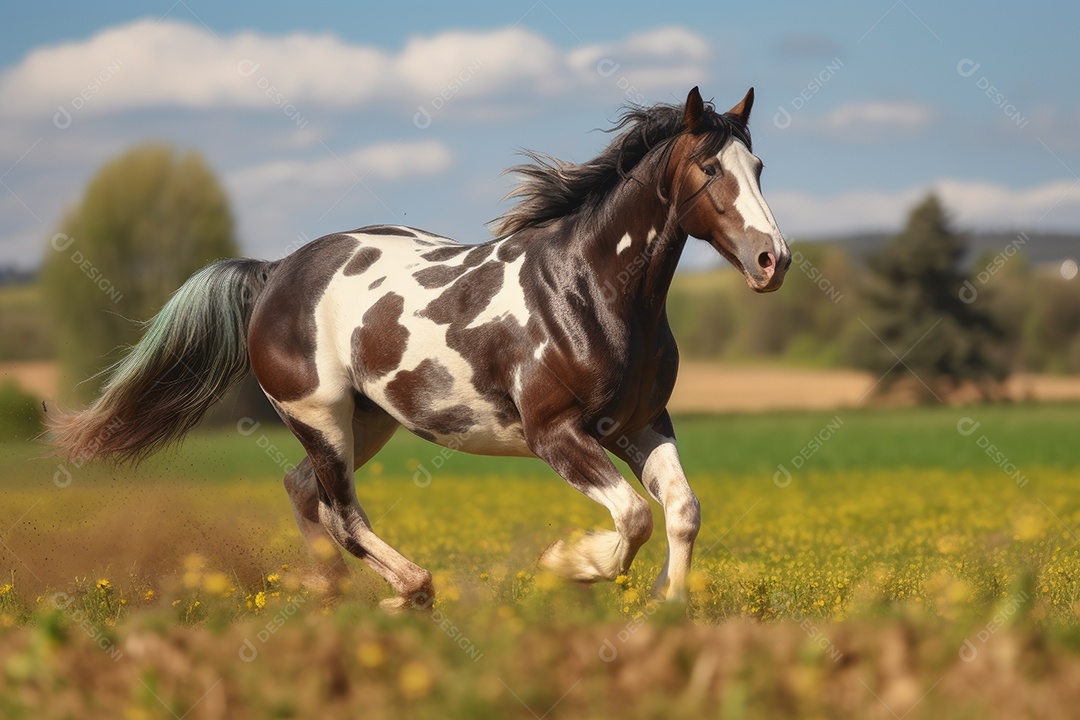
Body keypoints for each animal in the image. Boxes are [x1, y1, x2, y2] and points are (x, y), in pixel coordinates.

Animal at [51, 86, 790, 609]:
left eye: (757, 165)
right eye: (708, 167)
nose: (772, 260)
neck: (589, 291)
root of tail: (276, 270)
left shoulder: (640, 424)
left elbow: (683, 512)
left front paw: (670, 607)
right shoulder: (555, 433)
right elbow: (635, 516)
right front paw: (565, 565)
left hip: (370, 420)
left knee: (304, 493)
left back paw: (335, 599)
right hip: (320, 418)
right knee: (342, 512)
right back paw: (411, 590)